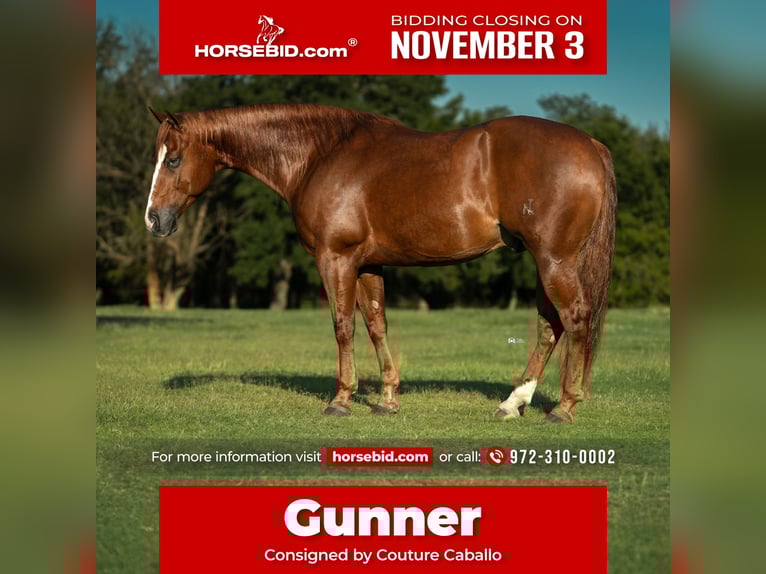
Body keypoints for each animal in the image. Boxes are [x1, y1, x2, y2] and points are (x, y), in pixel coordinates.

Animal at [145, 104, 616, 423]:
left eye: (173, 158)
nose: (153, 219)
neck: (320, 155)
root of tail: (590, 144)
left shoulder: (336, 259)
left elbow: (342, 327)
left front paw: (341, 399)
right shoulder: (369, 265)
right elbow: (376, 324)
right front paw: (388, 399)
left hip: (554, 260)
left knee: (574, 318)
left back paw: (564, 407)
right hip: (545, 262)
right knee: (549, 326)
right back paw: (512, 403)